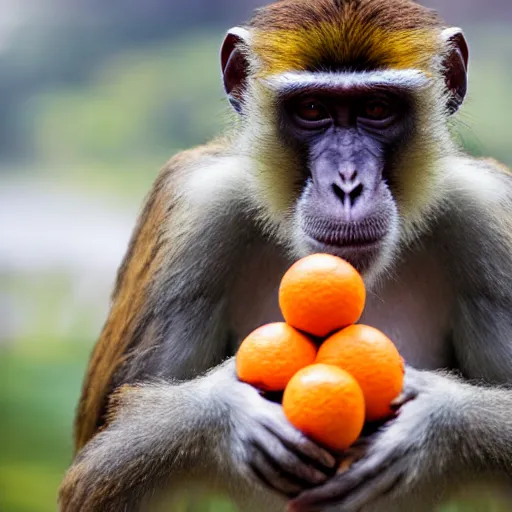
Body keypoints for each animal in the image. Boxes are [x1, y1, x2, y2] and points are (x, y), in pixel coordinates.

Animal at [57, 0, 512, 510]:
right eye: (312, 108)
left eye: (377, 108)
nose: (348, 183)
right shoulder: (196, 212)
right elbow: (97, 470)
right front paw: (226, 414)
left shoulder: (484, 215)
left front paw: (434, 421)